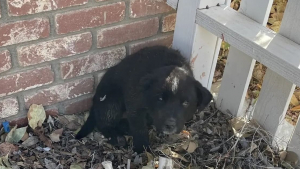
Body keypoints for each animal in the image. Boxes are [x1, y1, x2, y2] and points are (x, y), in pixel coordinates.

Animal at [75, 46, 212, 153]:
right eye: (160, 98)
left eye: (185, 103)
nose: (170, 125)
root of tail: (95, 102)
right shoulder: (135, 107)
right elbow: (139, 128)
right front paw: (142, 149)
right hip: (111, 101)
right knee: (103, 123)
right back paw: (117, 137)